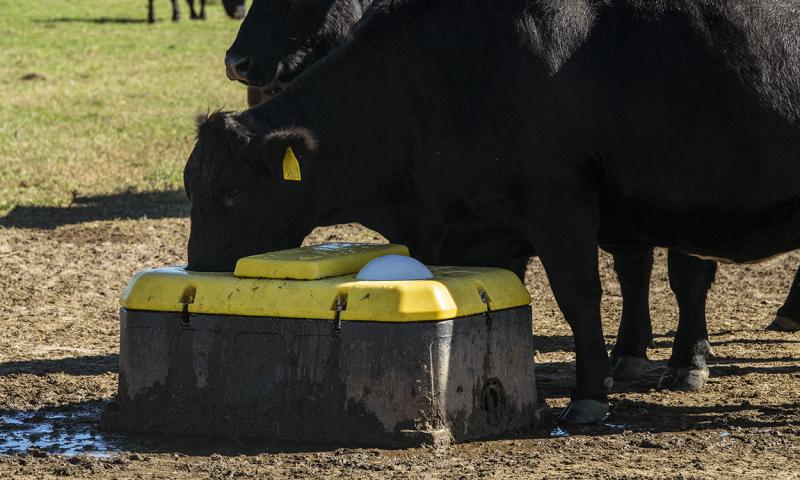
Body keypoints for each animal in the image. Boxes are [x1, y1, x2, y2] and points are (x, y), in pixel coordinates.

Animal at [186, 0, 800, 423]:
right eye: (192, 188)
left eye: (234, 192)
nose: (201, 267)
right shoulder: (481, 229)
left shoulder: (560, 204)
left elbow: (582, 296)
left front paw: (590, 394)